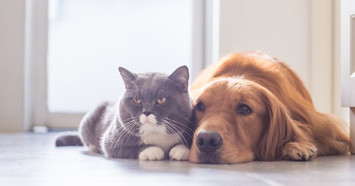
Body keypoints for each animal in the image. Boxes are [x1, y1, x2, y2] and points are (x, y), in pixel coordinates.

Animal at [56, 66, 195, 161]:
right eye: (137, 99)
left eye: (161, 100)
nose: (147, 112)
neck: (156, 133)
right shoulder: (112, 139)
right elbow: (123, 148)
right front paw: (152, 150)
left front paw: (180, 149)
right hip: (87, 121)